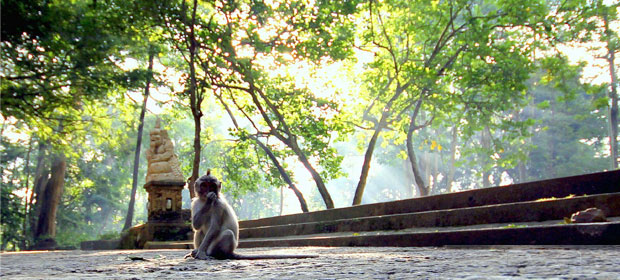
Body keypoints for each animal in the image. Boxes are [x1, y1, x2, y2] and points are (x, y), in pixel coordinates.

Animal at [184, 171, 318, 260]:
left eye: (212, 186)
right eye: (204, 185)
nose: (208, 192)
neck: (202, 200)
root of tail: (231, 252)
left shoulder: (219, 204)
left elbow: (214, 227)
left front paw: (201, 253)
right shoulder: (195, 203)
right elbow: (196, 225)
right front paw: (208, 201)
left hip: (220, 247)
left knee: (227, 233)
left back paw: (212, 254)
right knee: (199, 231)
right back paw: (195, 251)